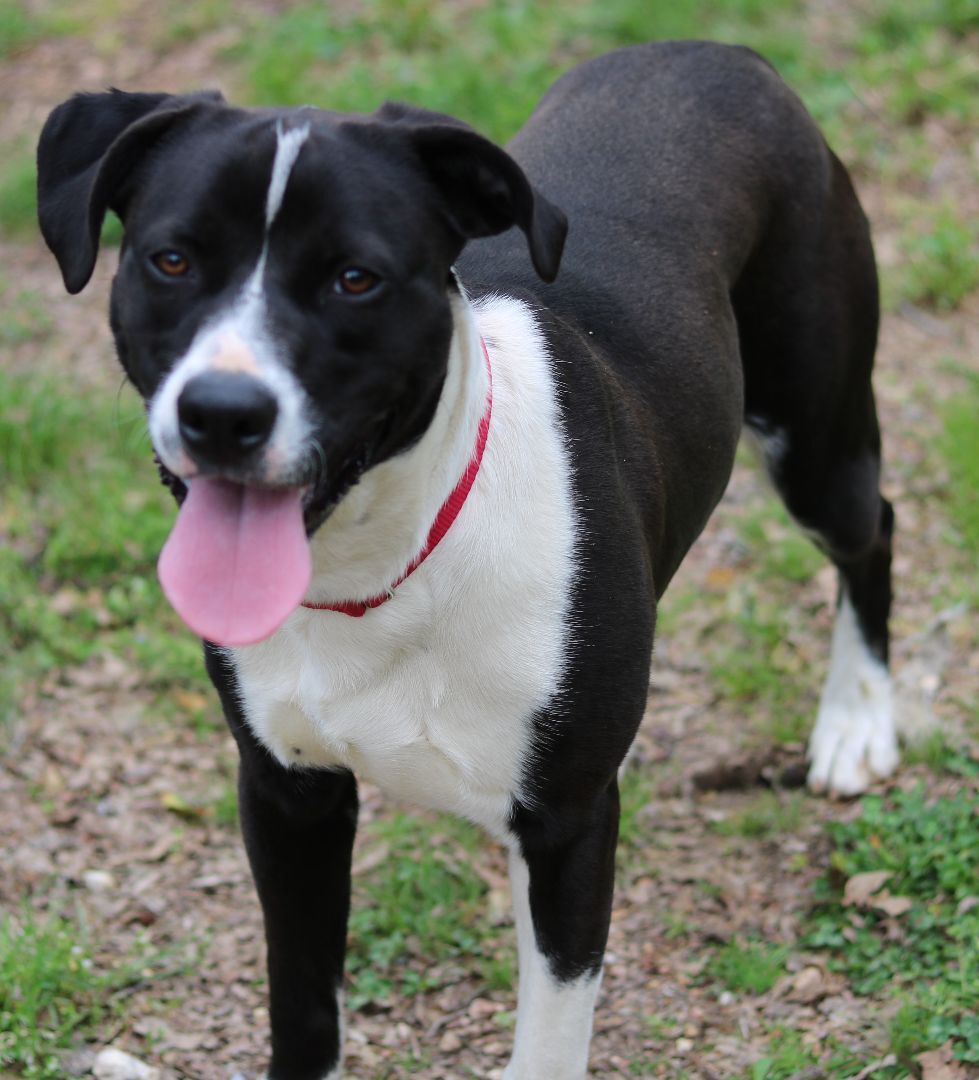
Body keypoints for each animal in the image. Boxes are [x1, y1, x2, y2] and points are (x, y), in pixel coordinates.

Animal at [36, 42, 894, 1080]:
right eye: (171, 260)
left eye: (355, 278)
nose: (222, 412)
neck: (379, 570)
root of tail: (719, 51)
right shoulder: (286, 794)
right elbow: (303, 1007)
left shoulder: (566, 824)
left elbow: (549, 1036)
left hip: (814, 436)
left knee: (872, 530)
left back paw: (856, 722)